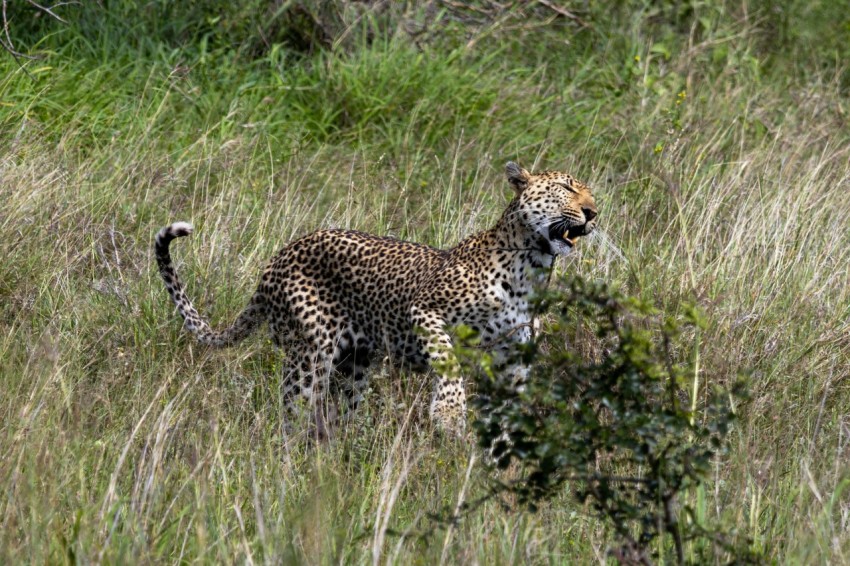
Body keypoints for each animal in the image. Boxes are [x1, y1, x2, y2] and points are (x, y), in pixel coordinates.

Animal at [157, 162, 596, 438]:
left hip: (354, 365)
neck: (531, 266)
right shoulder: (426, 310)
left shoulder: (513, 356)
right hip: (309, 355)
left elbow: (508, 411)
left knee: (335, 416)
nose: (593, 212)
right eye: (566, 188)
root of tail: (280, 255)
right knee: (294, 412)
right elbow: (448, 361)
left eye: (591, 193)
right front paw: (449, 414)